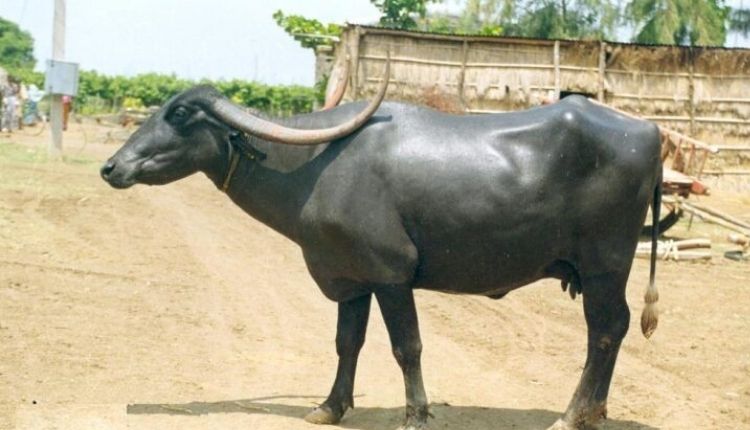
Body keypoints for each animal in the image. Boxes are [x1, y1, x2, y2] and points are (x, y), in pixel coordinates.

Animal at [101, 63, 664, 430]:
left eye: (180, 114)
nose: (111, 166)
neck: (313, 168)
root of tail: (649, 131)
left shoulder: (391, 276)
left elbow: (406, 346)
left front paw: (415, 414)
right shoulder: (351, 278)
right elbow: (346, 343)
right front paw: (329, 406)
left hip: (604, 266)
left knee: (605, 331)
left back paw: (571, 416)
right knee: (611, 330)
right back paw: (593, 412)